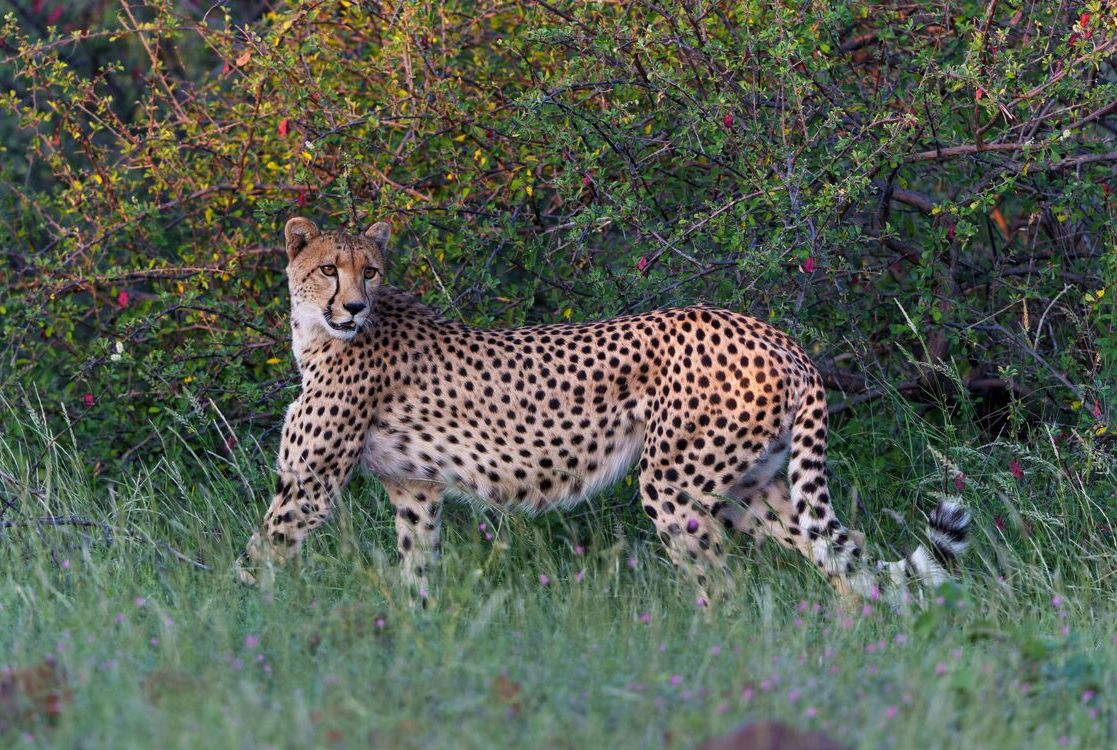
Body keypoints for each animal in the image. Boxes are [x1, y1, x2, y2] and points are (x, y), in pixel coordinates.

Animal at [236, 217, 971, 604]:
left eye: (371, 271)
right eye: (329, 269)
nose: (354, 304)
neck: (321, 334)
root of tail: (772, 333)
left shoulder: (307, 488)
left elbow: (255, 560)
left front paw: (241, 624)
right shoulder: (414, 491)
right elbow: (418, 572)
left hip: (676, 485)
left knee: (723, 587)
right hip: (753, 487)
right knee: (843, 560)